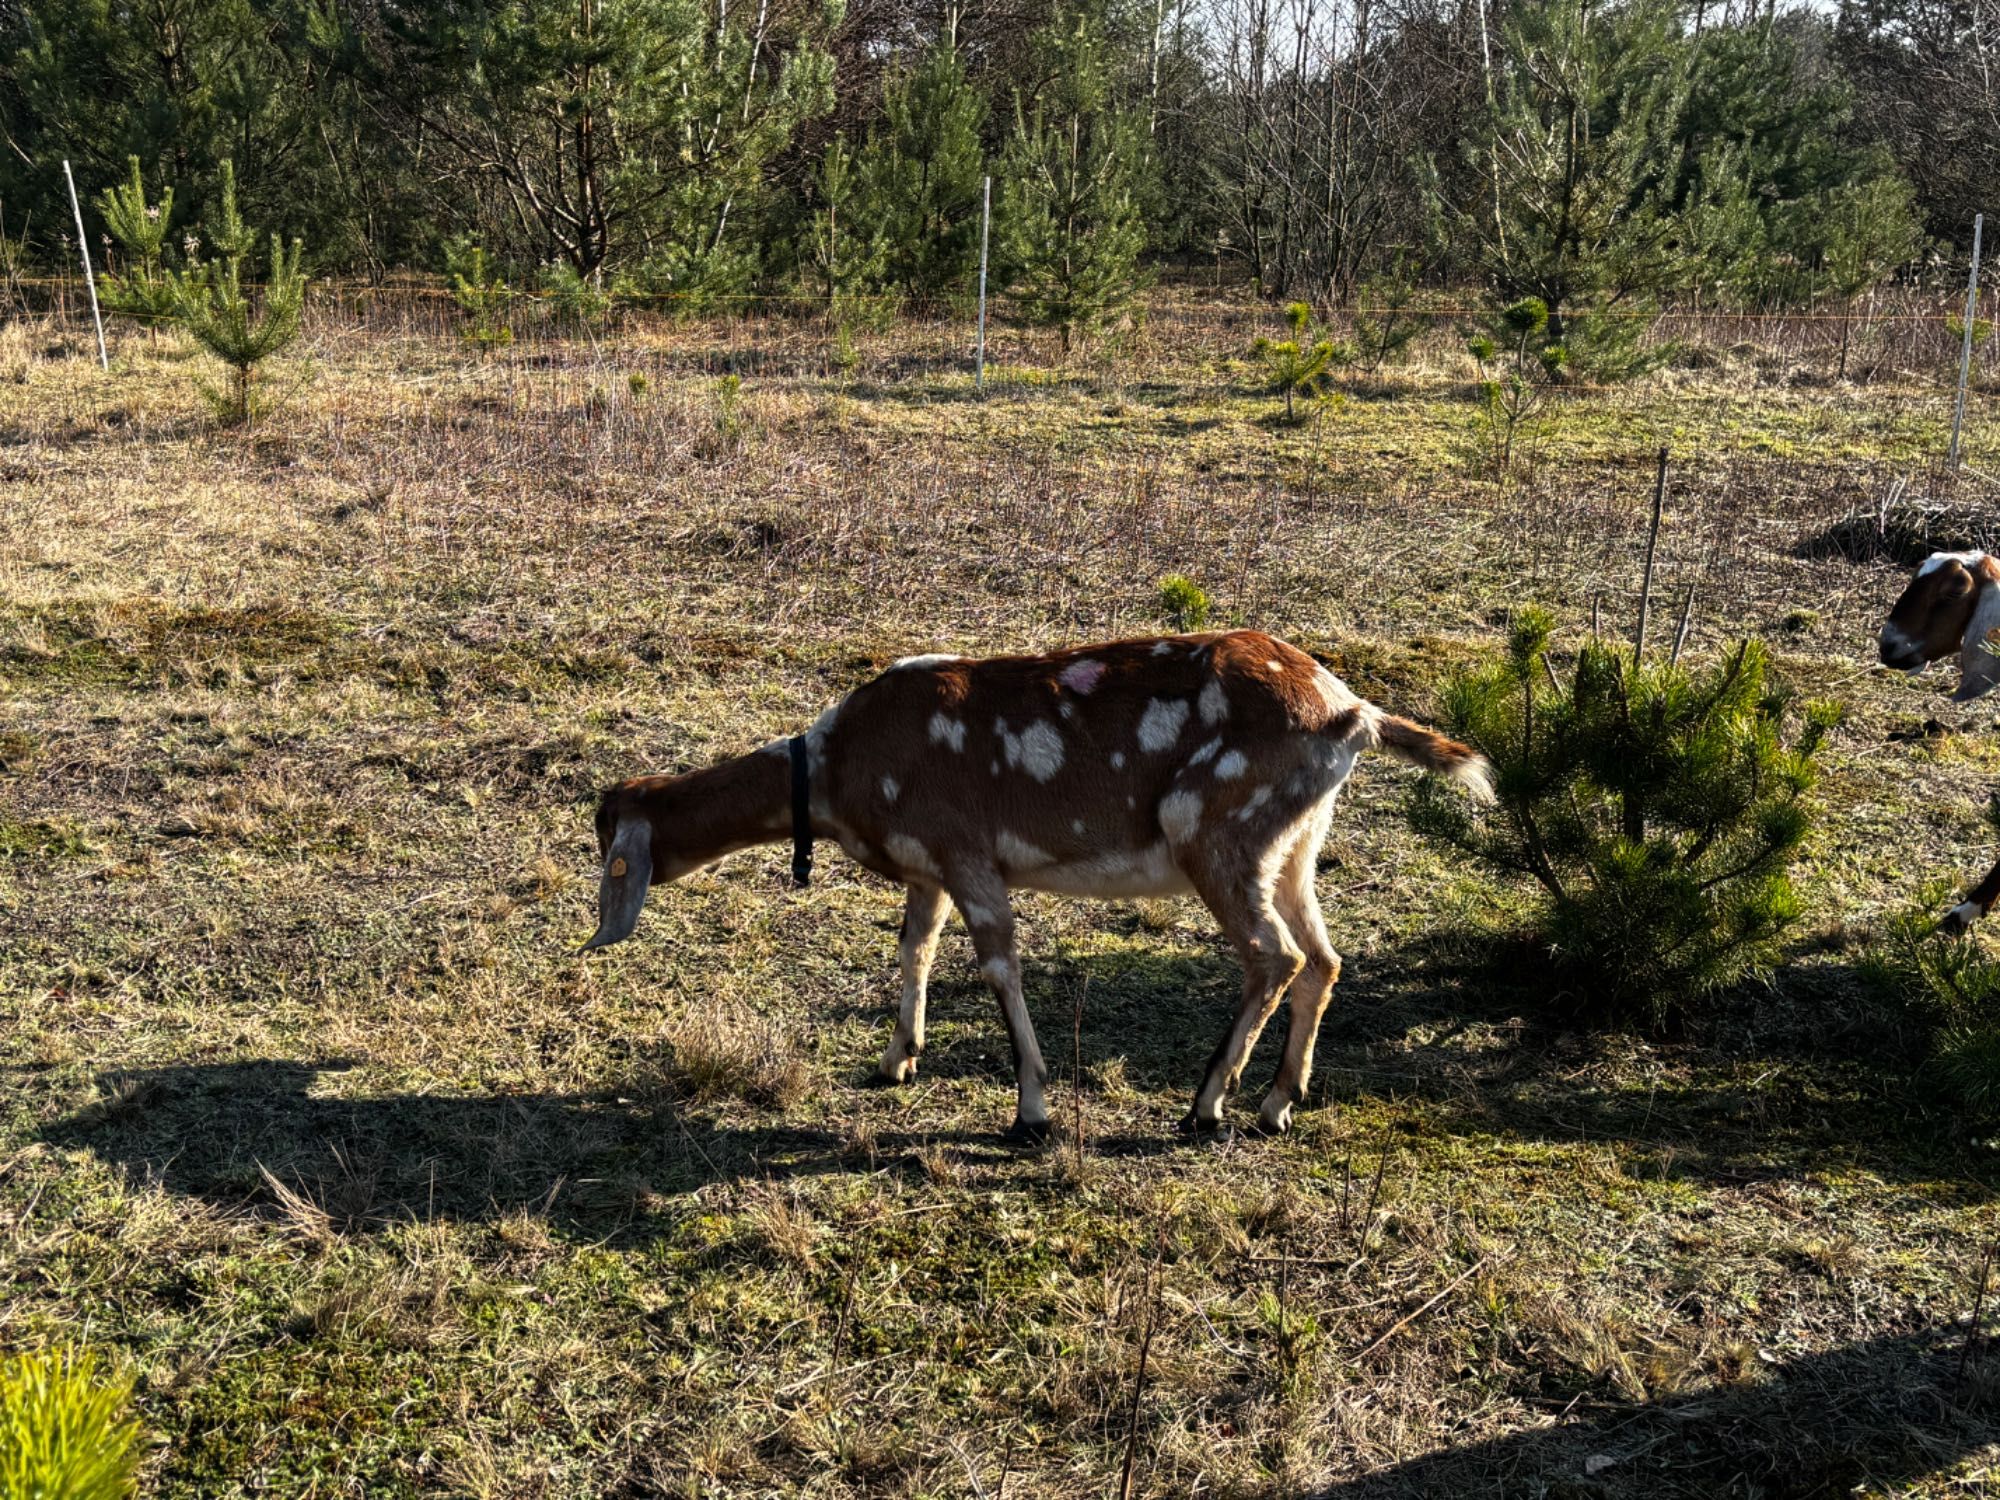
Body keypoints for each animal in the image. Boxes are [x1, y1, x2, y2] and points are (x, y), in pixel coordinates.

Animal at [584, 632, 1496, 1136]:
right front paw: (897, 1059)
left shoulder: (966, 852)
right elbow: (914, 946)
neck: (839, 766)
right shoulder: (930, 868)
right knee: (1324, 959)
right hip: (1297, 844)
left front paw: (1031, 1109)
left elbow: (997, 965)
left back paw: (1207, 1105)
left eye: (611, 851)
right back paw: (1277, 1102)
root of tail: (1350, 712)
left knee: (1274, 957)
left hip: (1218, 831)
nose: (598, 931)